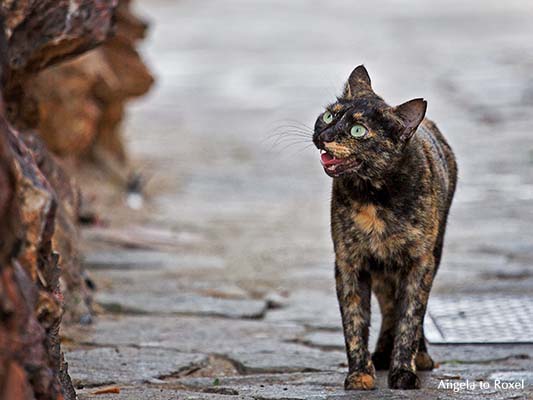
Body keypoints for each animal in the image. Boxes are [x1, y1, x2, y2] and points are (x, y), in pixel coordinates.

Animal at [312, 66, 458, 390]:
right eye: (328, 116)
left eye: (358, 130)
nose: (324, 135)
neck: (373, 196)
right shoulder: (350, 263)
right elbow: (354, 321)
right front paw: (360, 374)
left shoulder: (419, 264)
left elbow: (411, 317)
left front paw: (403, 371)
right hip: (381, 270)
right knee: (389, 306)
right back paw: (380, 354)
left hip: (434, 253)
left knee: (409, 309)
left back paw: (420, 356)